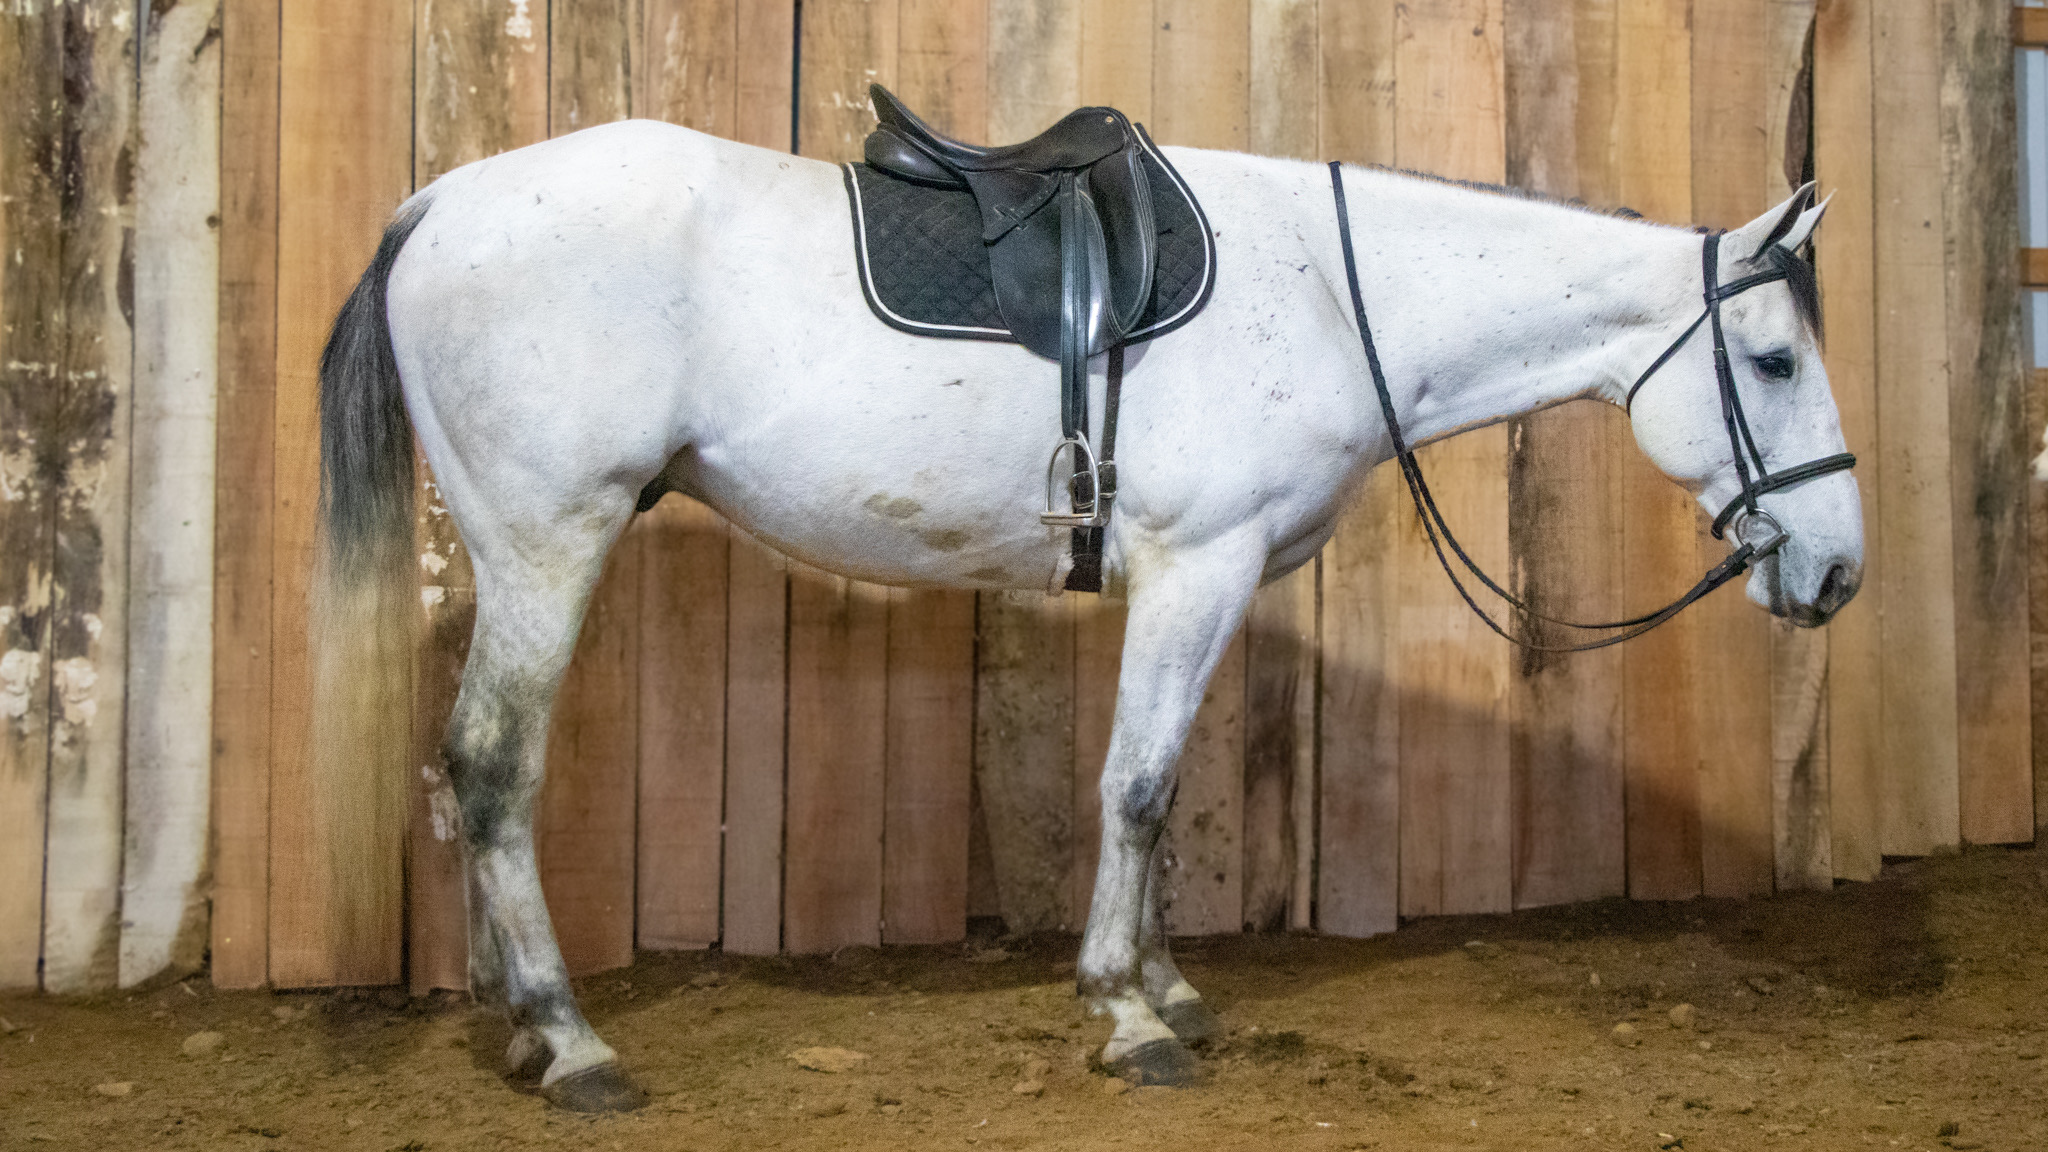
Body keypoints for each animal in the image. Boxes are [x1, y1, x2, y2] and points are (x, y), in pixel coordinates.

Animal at [311, 118, 1861, 1111]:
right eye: (1775, 361)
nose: (1839, 572)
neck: (1327, 293)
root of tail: (437, 206)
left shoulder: (1204, 579)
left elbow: (1155, 797)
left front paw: (1164, 988)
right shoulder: (1198, 563)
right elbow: (1138, 785)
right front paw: (1126, 1013)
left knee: (469, 773)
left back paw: (518, 1027)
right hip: (546, 540)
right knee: (492, 768)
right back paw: (569, 1042)